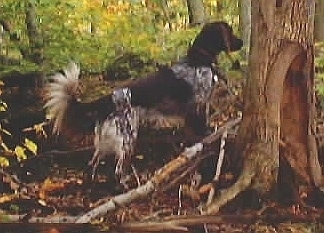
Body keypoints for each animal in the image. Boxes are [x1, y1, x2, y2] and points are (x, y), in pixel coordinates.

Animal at [44, 21, 242, 182]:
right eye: (230, 31)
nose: (242, 42)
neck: (199, 60)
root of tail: (108, 99)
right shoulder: (197, 107)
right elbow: (202, 132)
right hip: (127, 137)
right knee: (117, 170)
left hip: (105, 141)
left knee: (91, 165)